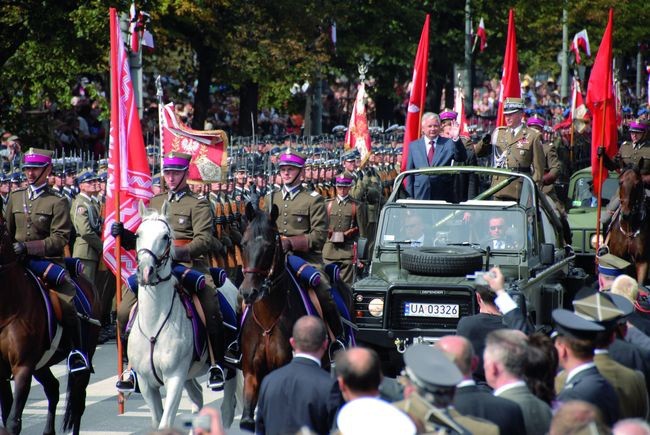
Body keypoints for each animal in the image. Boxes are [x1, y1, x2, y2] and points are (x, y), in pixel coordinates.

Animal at [0, 212, 100, 435]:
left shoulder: (23, 368)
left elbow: (12, 422)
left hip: (84, 358)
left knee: (78, 403)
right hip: (41, 364)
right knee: (53, 389)